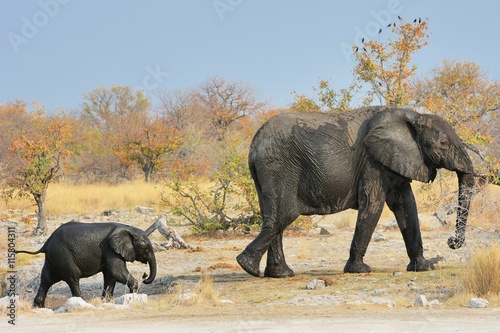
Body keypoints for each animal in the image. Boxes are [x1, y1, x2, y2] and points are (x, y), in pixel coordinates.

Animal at [16, 220, 156, 306]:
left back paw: (37, 307)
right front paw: (134, 293)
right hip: (63, 255)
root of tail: (46, 243)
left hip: (53, 258)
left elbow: (111, 276)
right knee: (72, 278)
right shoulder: (110, 250)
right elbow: (116, 271)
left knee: (46, 279)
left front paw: (105, 301)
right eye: (144, 246)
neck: (127, 228)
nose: (144, 275)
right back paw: (82, 302)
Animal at [236, 106, 474, 278]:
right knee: (284, 214)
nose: (451, 242)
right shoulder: (372, 161)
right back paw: (247, 266)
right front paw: (359, 270)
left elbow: (407, 205)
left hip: (267, 170)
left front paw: (423, 267)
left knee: (273, 214)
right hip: (279, 166)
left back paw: (280, 274)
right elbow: (374, 205)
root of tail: (254, 143)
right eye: (442, 143)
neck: (414, 116)